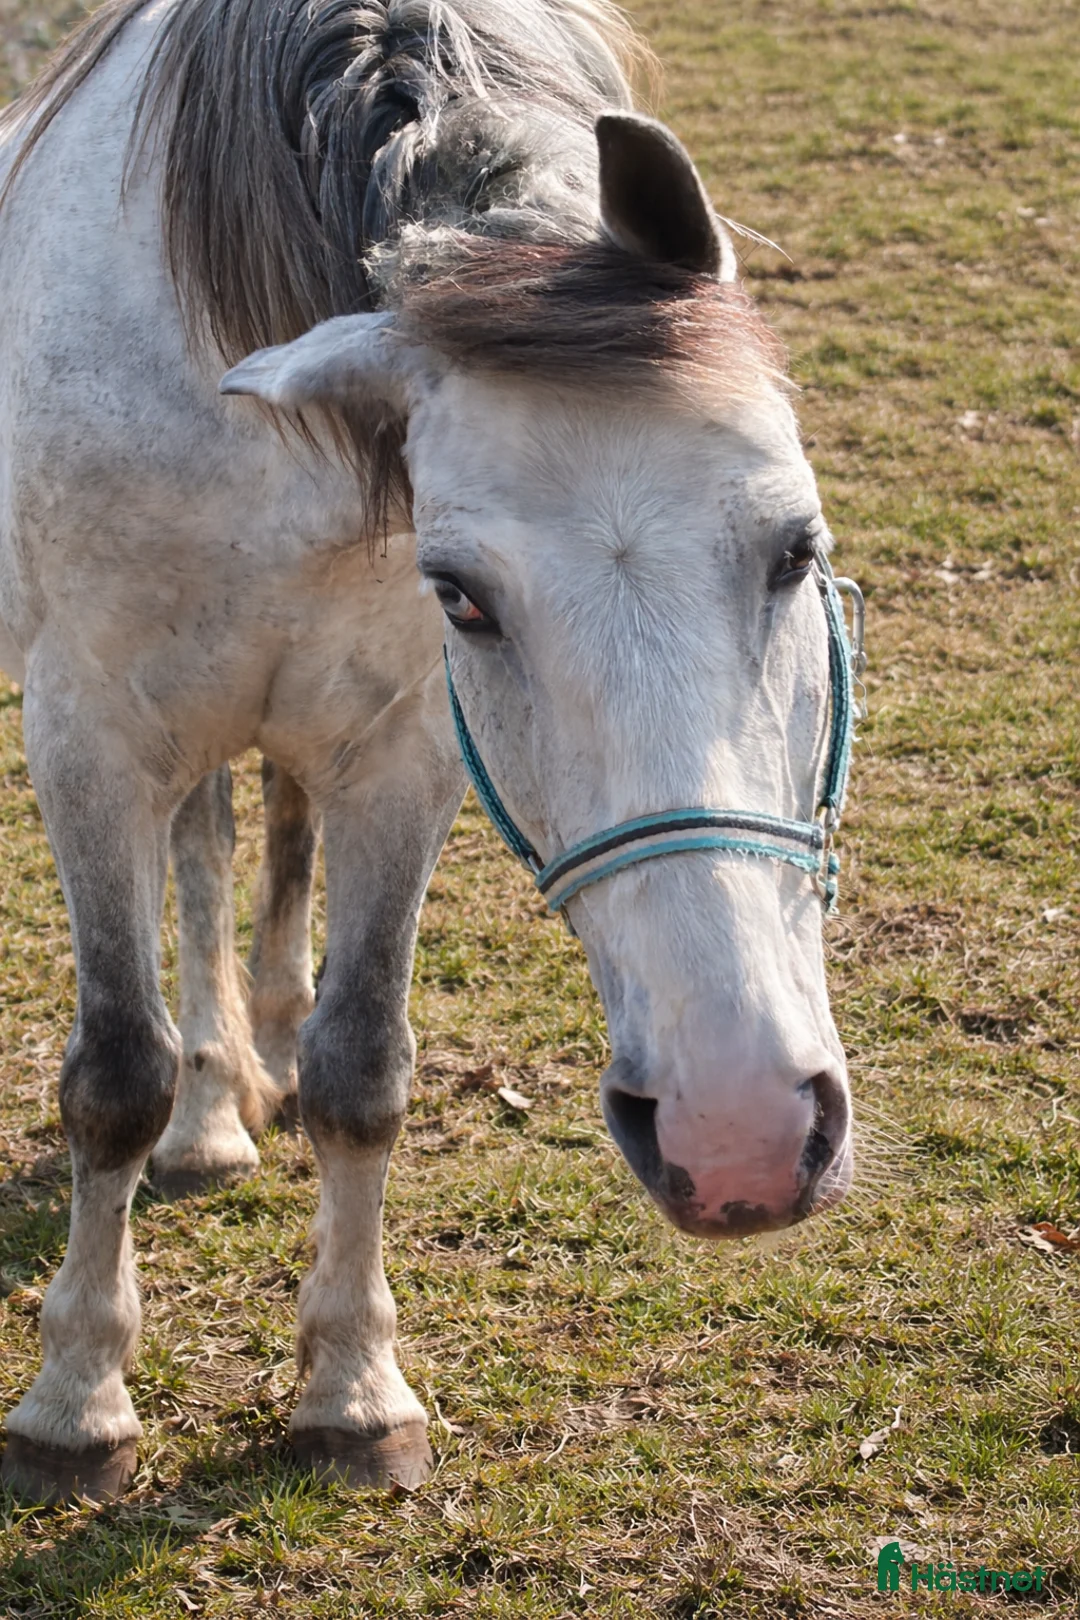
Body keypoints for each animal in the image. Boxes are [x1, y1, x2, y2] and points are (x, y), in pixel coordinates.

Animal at [0, 0, 858, 1504]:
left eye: (795, 549)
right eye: (462, 594)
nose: (740, 1131)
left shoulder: (402, 752)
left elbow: (361, 1071)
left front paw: (353, 1390)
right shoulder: (90, 734)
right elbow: (112, 1077)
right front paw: (77, 1401)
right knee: (202, 872)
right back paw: (210, 1117)